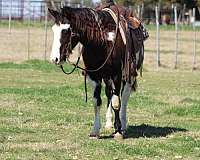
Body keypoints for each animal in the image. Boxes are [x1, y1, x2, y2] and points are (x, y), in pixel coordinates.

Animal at [48, 6, 144, 138]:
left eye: (66, 30)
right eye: (54, 30)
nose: (55, 59)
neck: (102, 41)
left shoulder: (117, 75)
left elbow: (116, 103)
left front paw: (118, 131)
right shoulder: (94, 76)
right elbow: (97, 101)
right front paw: (95, 131)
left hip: (129, 76)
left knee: (124, 97)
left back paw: (123, 126)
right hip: (107, 77)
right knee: (109, 94)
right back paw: (108, 123)